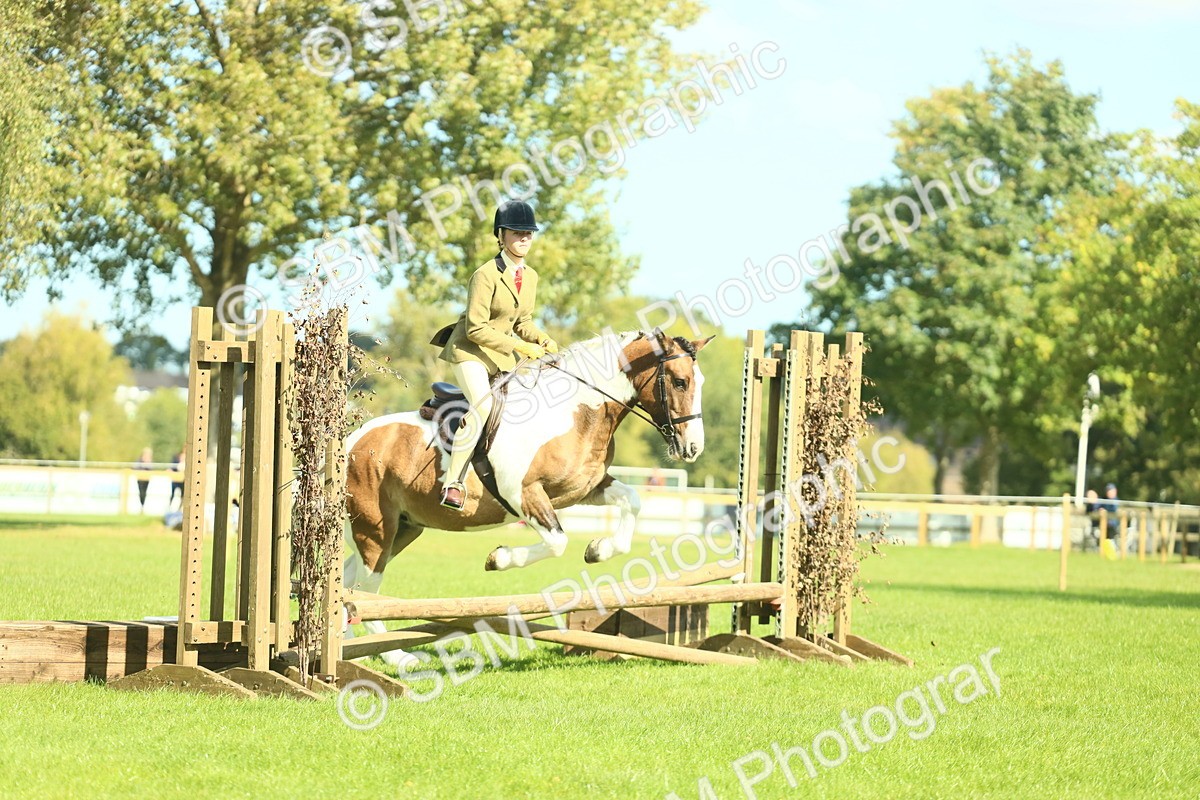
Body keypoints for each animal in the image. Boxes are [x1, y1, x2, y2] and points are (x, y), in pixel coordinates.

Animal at [341, 328, 714, 667]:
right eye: (680, 382)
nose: (694, 448)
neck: (575, 413)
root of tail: (352, 440)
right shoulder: (524, 493)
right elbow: (557, 541)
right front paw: (499, 559)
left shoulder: (585, 489)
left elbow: (632, 501)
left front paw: (598, 550)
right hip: (376, 528)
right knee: (366, 587)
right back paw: (396, 658)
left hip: (403, 529)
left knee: (349, 580)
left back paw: (352, 649)